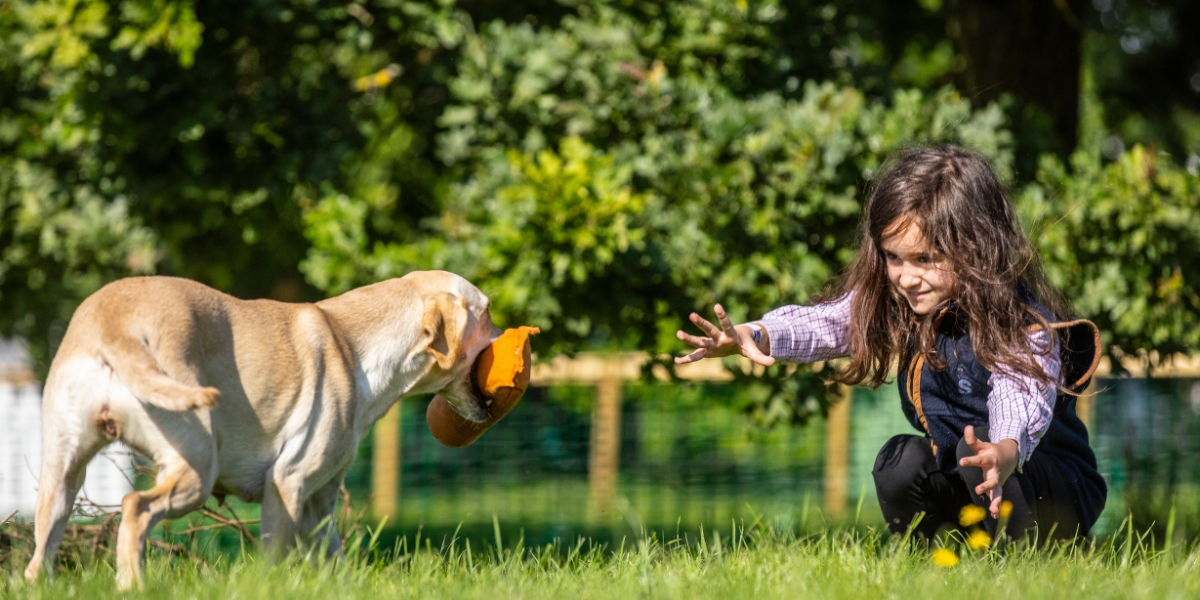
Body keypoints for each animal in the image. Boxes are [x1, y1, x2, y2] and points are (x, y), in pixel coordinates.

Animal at [23, 272, 501, 590]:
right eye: (489, 312)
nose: (511, 332)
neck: (358, 349)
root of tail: (115, 320)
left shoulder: (318, 503)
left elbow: (335, 559)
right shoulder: (286, 485)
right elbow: (275, 558)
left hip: (61, 478)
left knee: (41, 549)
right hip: (197, 467)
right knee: (134, 508)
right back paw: (134, 586)